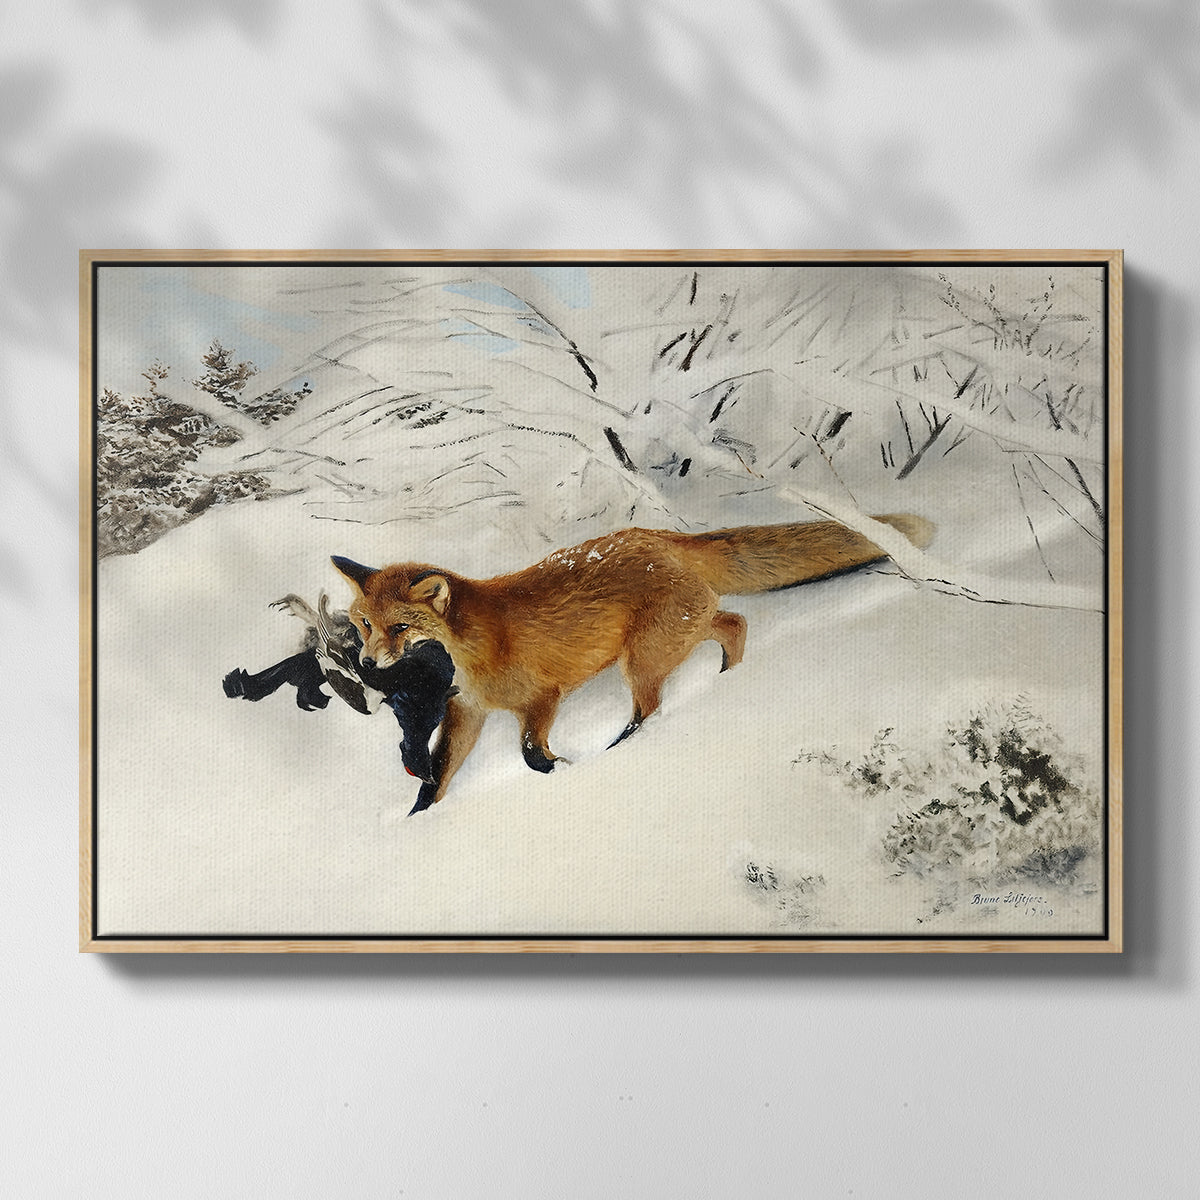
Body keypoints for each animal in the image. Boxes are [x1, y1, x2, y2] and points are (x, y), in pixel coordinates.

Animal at [332, 513, 934, 814]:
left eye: (399, 628)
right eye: (363, 624)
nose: (367, 662)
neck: (474, 649)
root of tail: (659, 536)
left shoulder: (542, 698)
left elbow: (530, 754)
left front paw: (565, 770)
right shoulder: (468, 712)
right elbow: (437, 777)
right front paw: (418, 821)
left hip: (642, 660)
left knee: (653, 707)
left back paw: (625, 747)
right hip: (677, 635)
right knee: (734, 623)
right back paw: (728, 679)